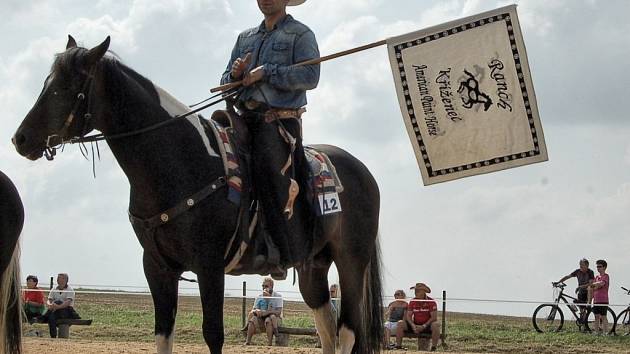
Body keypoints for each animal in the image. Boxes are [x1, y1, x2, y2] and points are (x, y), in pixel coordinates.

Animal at [11, 36, 386, 354]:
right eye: (47, 83)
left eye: (65, 87)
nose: (20, 139)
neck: (181, 162)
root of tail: (363, 172)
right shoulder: (157, 266)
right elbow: (163, 334)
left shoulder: (209, 265)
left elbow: (213, 334)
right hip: (314, 266)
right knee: (327, 330)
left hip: (351, 261)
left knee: (348, 331)